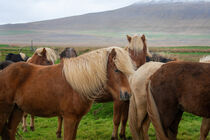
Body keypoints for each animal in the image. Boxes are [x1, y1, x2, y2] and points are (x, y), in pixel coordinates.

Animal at [0, 46, 135, 139]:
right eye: (116, 70)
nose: (127, 94)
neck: (78, 84)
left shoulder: (77, 119)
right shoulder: (69, 118)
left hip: (17, 110)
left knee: (9, 132)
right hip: (5, 111)